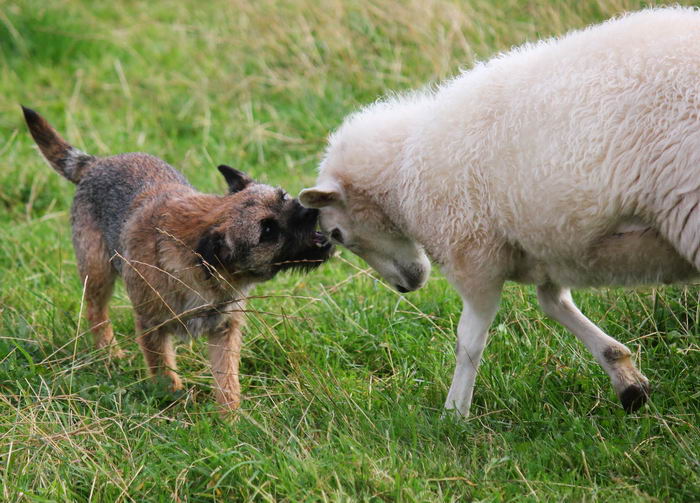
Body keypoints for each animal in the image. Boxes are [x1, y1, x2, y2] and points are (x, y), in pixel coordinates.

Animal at [23, 106, 334, 410]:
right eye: (267, 230)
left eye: (284, 197)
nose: (311, 208)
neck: (206, 272)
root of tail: (96, 163)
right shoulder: (152, 326)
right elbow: (164, 373)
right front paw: (172, 403)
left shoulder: (225, 331)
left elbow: (226, 378)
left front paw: (231, 418)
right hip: (97, 271)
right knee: (96, 313)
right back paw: (110, 352)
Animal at [298, 7, 700, 416]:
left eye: (336, 233)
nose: (406, 287)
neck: (402, 170)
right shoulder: (547, 250)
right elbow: (555, 304)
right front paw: (626, 378)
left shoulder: (475, 256)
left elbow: (468, 342)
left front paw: (453, 414)